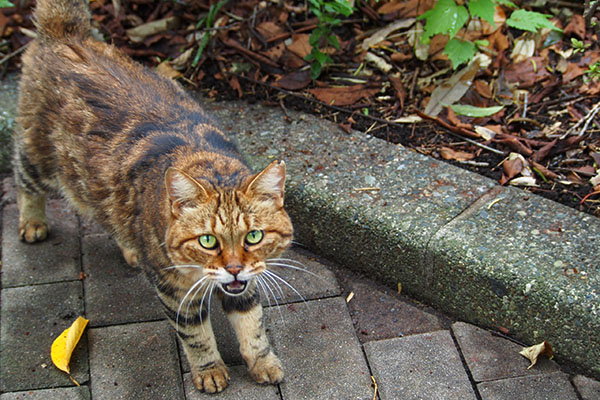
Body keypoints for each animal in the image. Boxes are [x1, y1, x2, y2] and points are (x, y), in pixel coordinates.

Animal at [12, 0, 294, 392]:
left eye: (254, 236)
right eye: (207, 241)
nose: (234, 268)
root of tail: (64, 32)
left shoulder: (249, 282)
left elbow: (252, 324)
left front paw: (263, 361)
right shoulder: (174, 291)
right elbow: (196, 336)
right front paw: (209, 370)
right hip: (41, 162)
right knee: (23, 178)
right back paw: (33, 222)